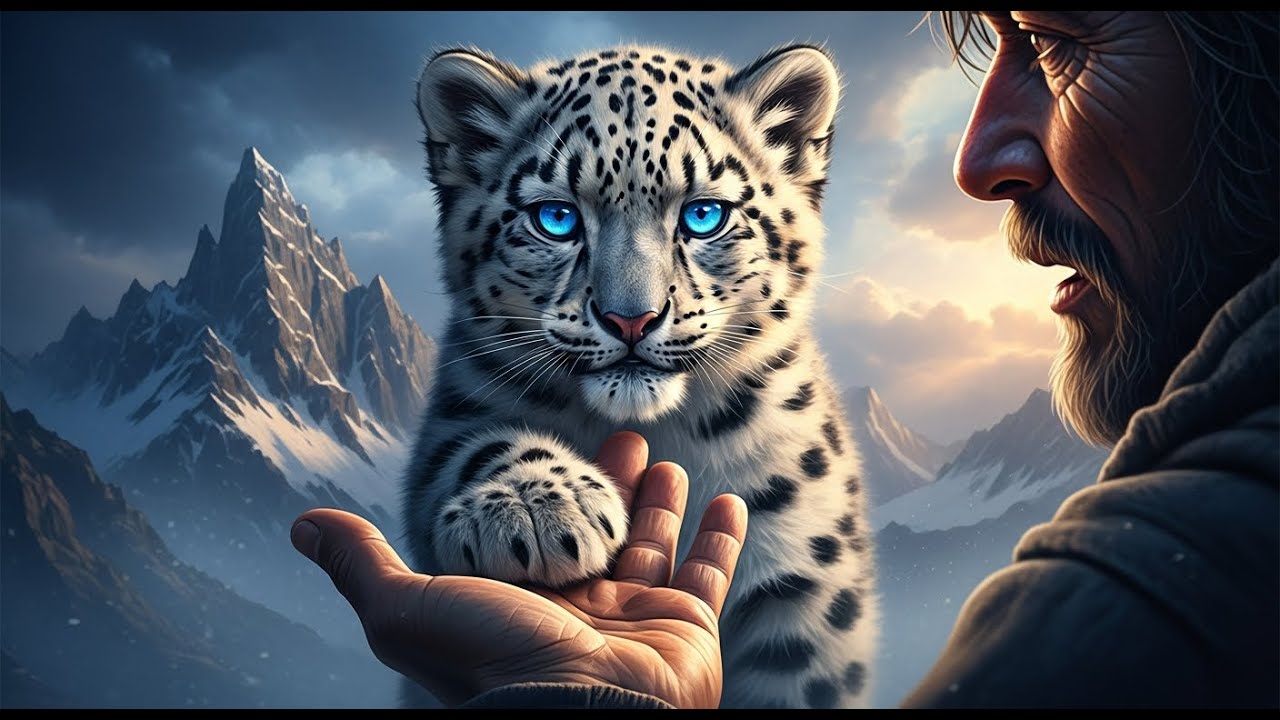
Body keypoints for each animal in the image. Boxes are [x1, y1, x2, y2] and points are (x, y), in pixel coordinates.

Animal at [403, 42, 878, 709]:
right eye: (556, 218)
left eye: (704, 215)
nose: (632, 318)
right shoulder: (458, 406)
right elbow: (471, 445)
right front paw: (535, 510)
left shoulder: (803, 583)